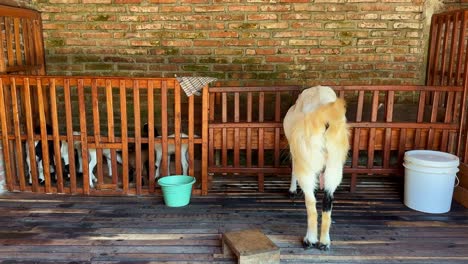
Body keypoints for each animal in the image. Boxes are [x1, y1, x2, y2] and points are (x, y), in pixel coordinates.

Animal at [284, 85, 350, 251]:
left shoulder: (297, 152)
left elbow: (293, 168)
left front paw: (292, 190)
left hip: (307, 161)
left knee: (311, 203)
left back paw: (310, 240)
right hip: (335, 163)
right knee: (327, 201)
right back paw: (324, 242)